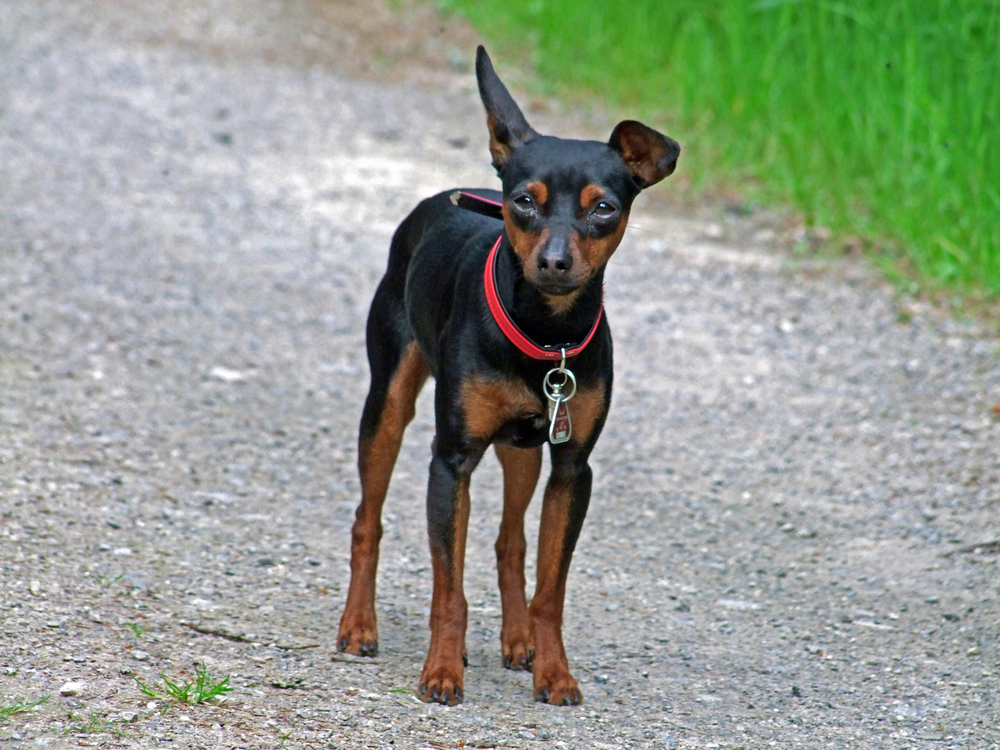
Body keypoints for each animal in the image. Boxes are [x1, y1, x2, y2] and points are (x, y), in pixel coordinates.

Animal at [338, 48, 680, 712]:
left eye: (604, 208)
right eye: (524, 200)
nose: (554, 261)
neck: (546, 334)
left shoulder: (572, 469)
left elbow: (550, 589)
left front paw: (555, 672)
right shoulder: (452, 461)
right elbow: (448, 590)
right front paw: (442, 672)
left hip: (523, 449)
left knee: (510, 544)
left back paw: (518, 641)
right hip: (387, 405)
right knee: (369, 517)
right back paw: (358, 625)